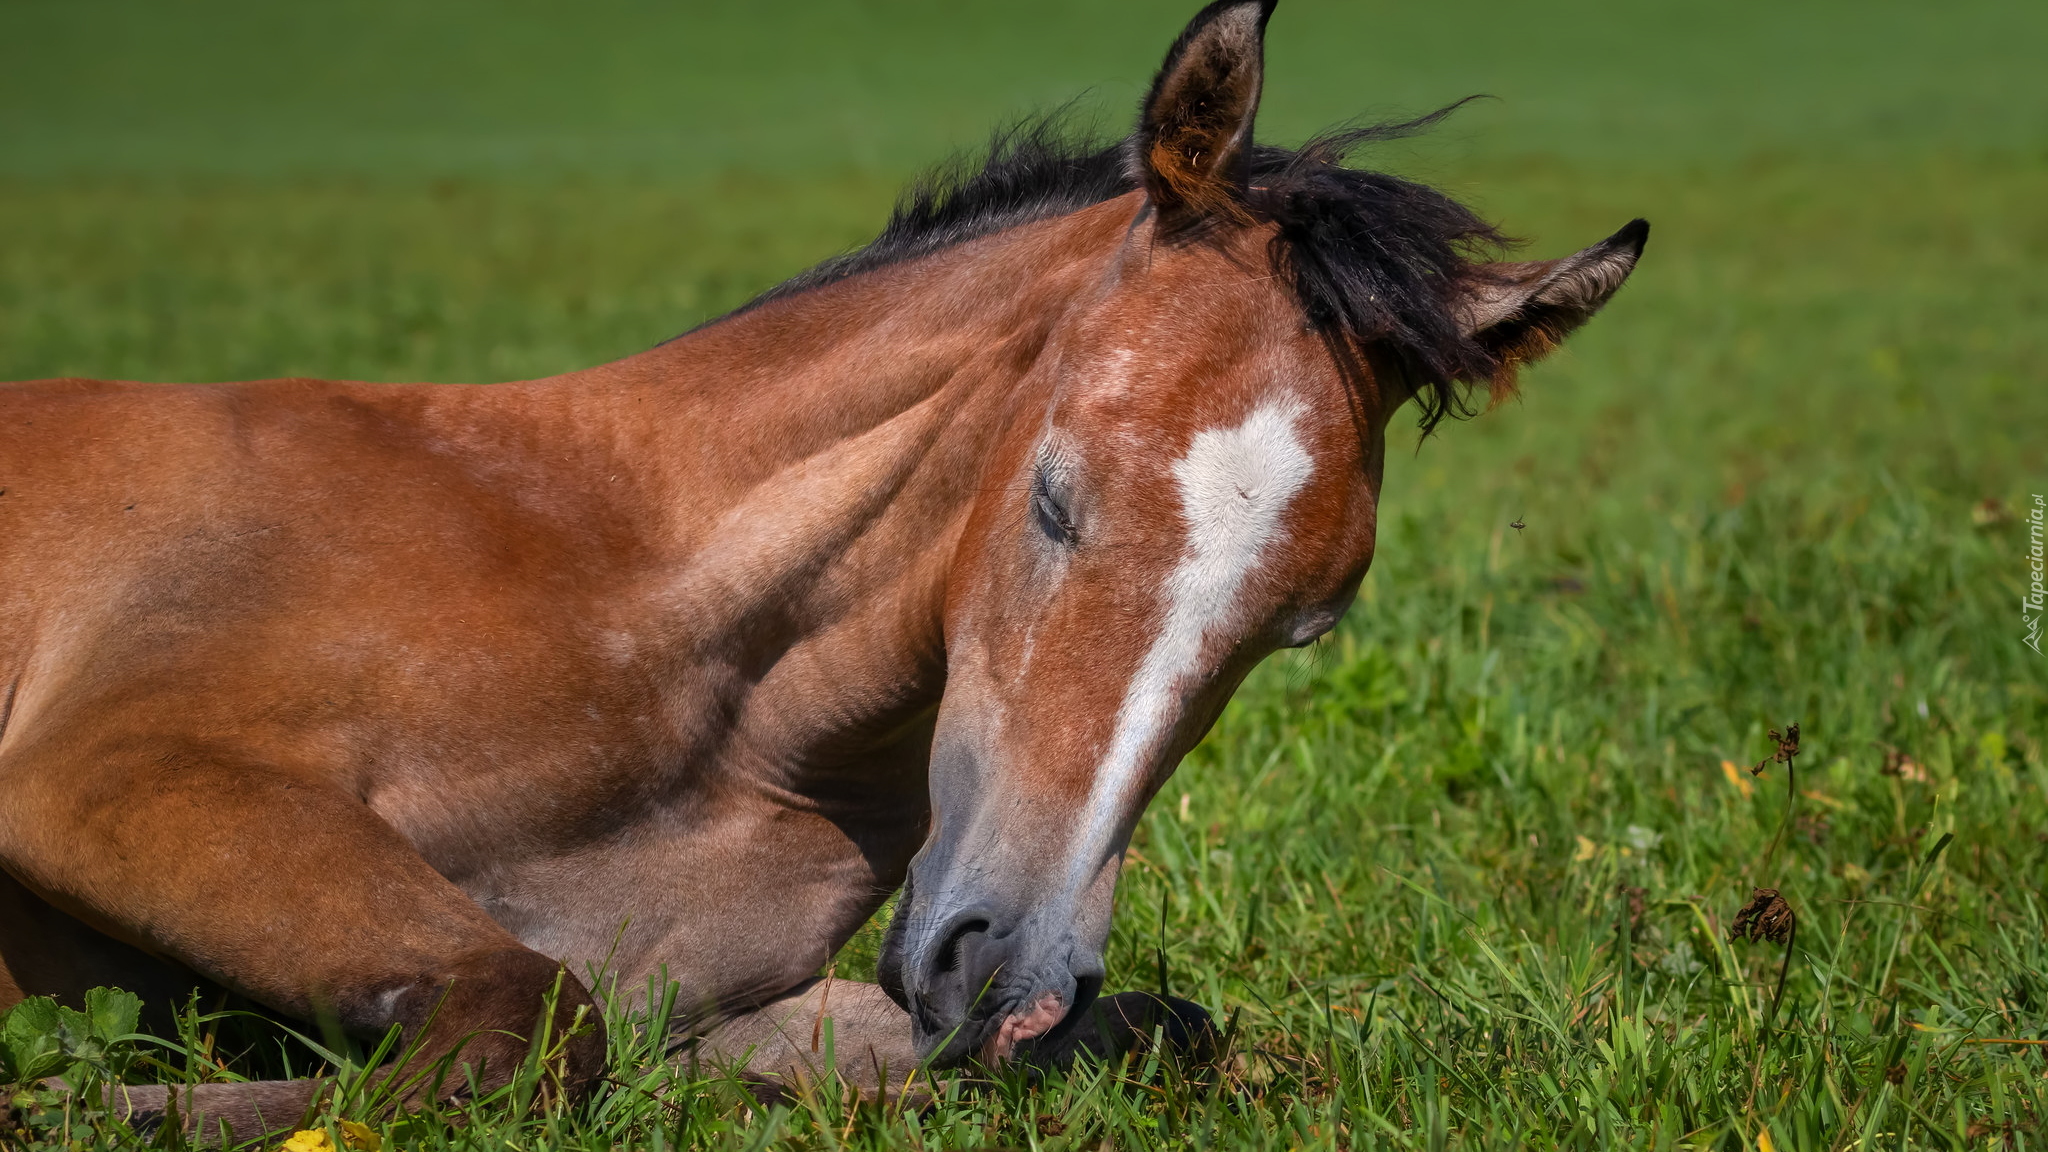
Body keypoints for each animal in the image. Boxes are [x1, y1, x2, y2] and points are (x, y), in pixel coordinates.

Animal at [0, 0, 1638, 1131]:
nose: (1007, 976)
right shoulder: (121, 774)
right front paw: (99, 1100)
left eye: (1300, 624)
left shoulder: (727, 994)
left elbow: (1159, 1033)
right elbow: (521, 1022)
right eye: (1055, 500)